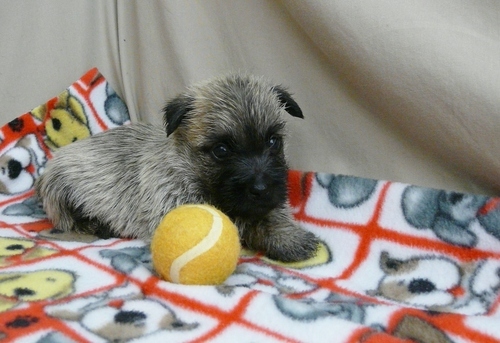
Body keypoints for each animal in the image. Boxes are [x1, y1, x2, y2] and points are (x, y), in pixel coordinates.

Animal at [35, 74, 318, 262]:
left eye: (273, 141)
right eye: (221, 150)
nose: (261, 188)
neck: (188, 167)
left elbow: (269, 215)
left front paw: (289, 238)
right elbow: (242, 221)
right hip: (62, 191)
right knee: (69, 219)